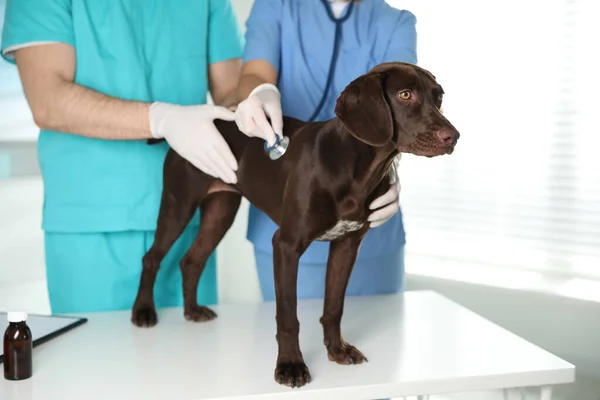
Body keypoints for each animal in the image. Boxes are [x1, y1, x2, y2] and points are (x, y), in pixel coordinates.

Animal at [130, 61, 460, 388]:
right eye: (405, 95)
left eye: (439, 96)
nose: (454, 136)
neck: (354, 168)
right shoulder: (286, 245)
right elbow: (288, 314)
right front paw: (290, 365)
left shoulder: (347, 245)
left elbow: (334, 306)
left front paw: (337, 350)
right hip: (179, 205)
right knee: (152, 257)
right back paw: (144, 311)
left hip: (220, 211)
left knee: (191, 260)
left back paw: (191, 311)